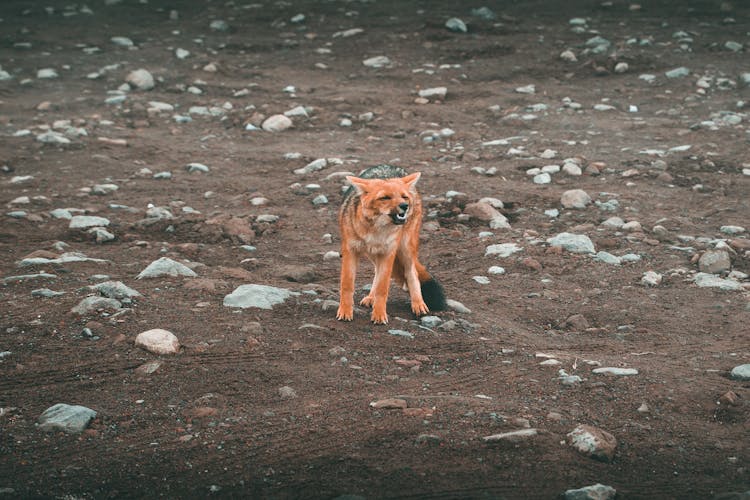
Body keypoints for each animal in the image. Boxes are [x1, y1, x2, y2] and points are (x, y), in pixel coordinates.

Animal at [338, 166, 450, 326]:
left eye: (404, 197)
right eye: (385, 197)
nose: (405, 206)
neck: (376, 232)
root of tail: (392, 168)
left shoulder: (388, 253)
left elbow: (383, 288)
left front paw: (379, 315)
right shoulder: (350, 251)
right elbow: (347, 285)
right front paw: (345, 311)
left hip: (405, 249)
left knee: (412, 272)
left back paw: (418, 303)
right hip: (373, 254)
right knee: (377, 272)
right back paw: (371, 298)